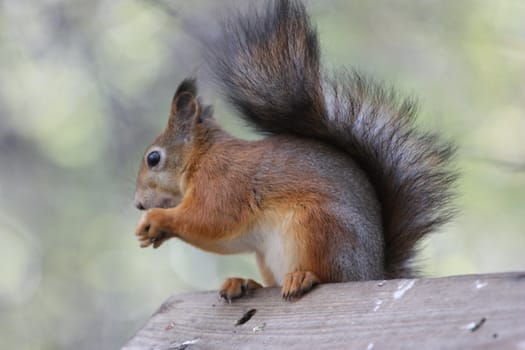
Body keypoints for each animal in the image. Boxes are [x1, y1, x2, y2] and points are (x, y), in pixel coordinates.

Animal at [134, 0, 454, 300]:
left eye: (154, 158)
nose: (138, 204)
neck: (201, 158)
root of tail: (371, 273)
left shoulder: (223, 184)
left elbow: (210, 220)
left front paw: (157, 220)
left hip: (317, 226)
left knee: (330, 276)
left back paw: (303, 277)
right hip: (268, 254)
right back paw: (244, 283)